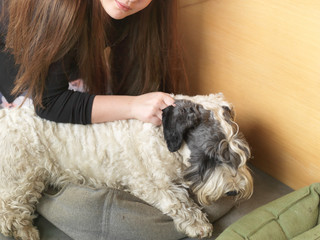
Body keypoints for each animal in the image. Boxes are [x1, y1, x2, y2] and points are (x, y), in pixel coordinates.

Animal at [0, 94, 254, 240]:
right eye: (211, 154)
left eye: (239, 148)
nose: (234, 190)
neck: (164, 138)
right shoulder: (151, 184)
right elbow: (178, 202)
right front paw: (198, 224)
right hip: (23, 177)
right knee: (8, 212)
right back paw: (27, 232)